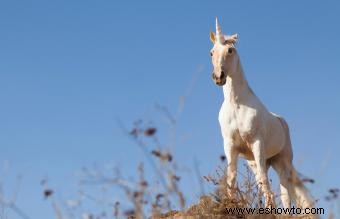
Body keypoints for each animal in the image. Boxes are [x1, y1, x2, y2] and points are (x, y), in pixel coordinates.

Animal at [209, 18, 314, 210]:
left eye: (230, 50)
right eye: (211, 52)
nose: (218, 76)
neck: (237, 105)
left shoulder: (257, 143)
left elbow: (266, 182)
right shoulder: (230, 147)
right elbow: (232, 178)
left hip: (282, 162)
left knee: (285, 191)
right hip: (259, 162)